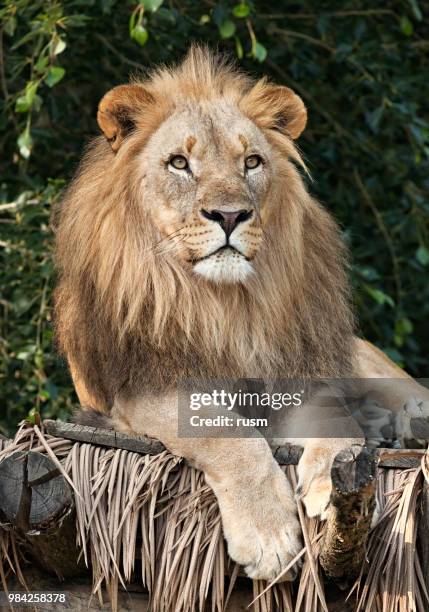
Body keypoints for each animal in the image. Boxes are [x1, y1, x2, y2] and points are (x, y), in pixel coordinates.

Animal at [53, 45, 428, 580]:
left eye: (251, 162)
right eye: (179, 163)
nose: (230, 215)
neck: (223, 306)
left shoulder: (302, 374)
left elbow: (335, 418)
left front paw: (328, 480)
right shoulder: (145, 389)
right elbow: (228, 433)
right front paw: (268, 535)